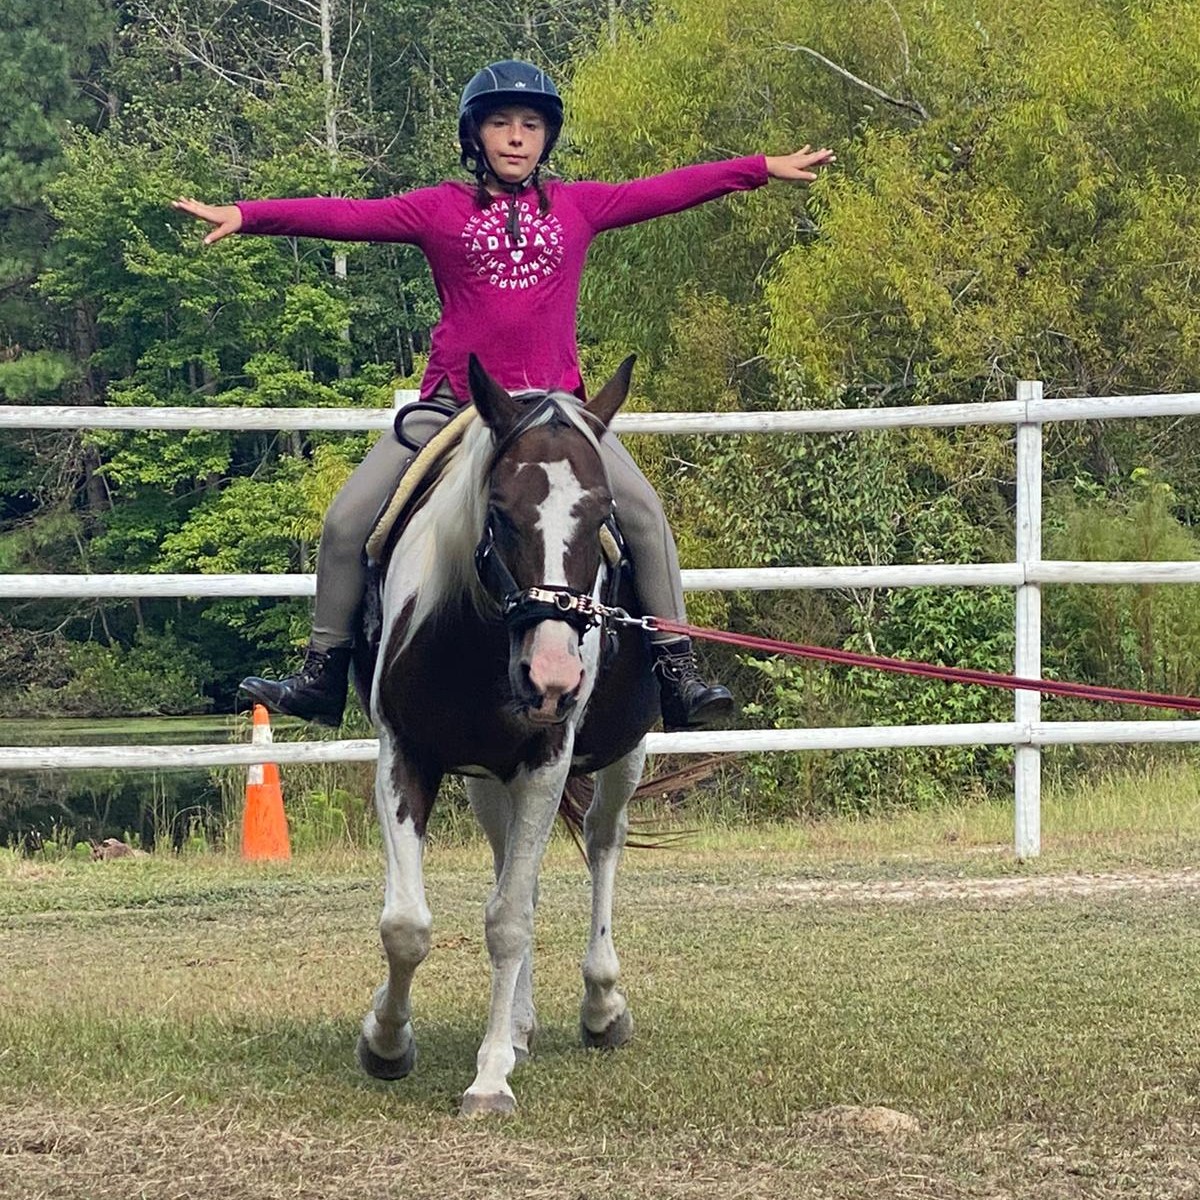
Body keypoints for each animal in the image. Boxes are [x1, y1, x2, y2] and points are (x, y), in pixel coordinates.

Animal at [353, 354, 659, 1116]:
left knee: (602, 846)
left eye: (603, 516)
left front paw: (490, 1078)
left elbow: (509, 920)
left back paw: (601, 1007)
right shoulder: (406, 753)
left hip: (624, 755)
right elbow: (407, 924)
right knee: (510, 868)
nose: (551, 678)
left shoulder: (548, 761)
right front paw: (386, 1039)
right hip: (489, 781)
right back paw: (519, 1024)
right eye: (499, 514)